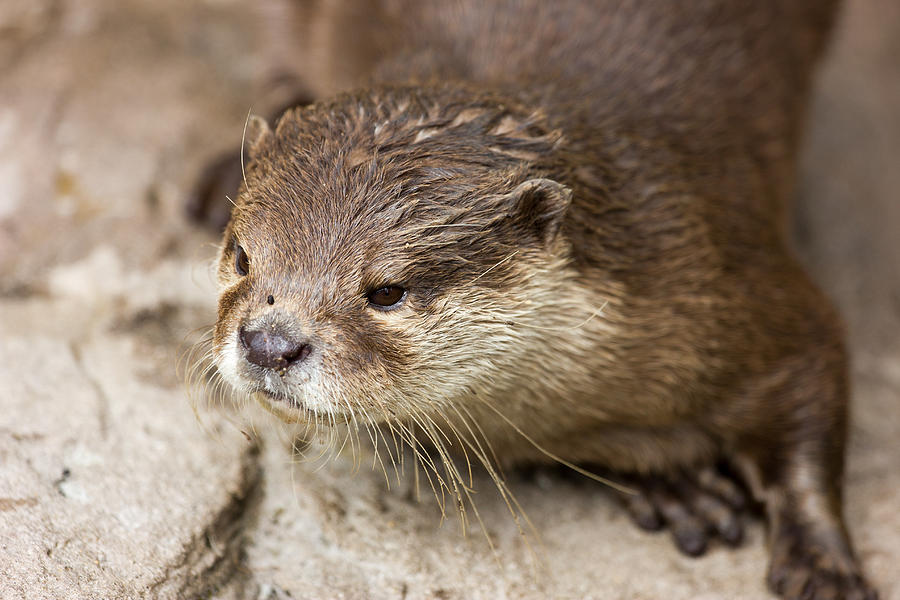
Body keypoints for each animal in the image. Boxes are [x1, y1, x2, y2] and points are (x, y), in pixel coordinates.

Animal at [188, 2, 880, 596]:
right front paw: (675, 484)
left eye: (386, 291)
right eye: (243, 257)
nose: (270, 344)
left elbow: (812, 387)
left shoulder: (736, 283)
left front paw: (823, 564)